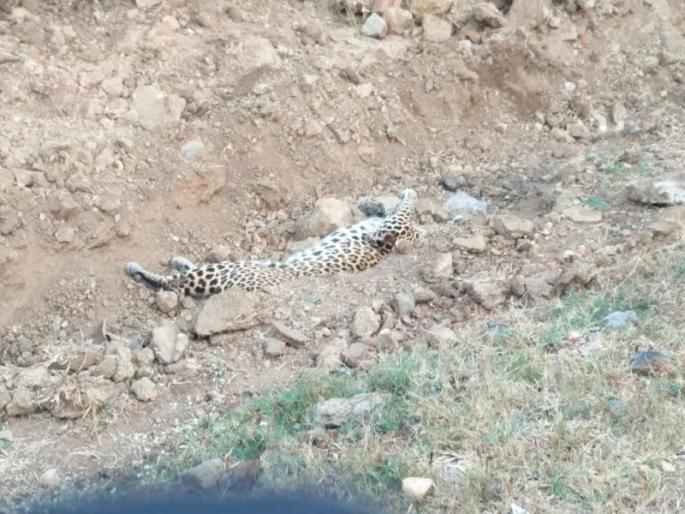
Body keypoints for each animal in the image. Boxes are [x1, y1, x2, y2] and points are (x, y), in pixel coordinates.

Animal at [124, 188, 418, 298]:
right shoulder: (381, 232)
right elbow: (387, 209)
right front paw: (370, 202)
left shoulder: (391, 231)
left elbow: (406, 208)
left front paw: (406, 193)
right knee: (181, 278)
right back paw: (177, 262)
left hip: (225, 270)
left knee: (175, 282)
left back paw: (135, 269)